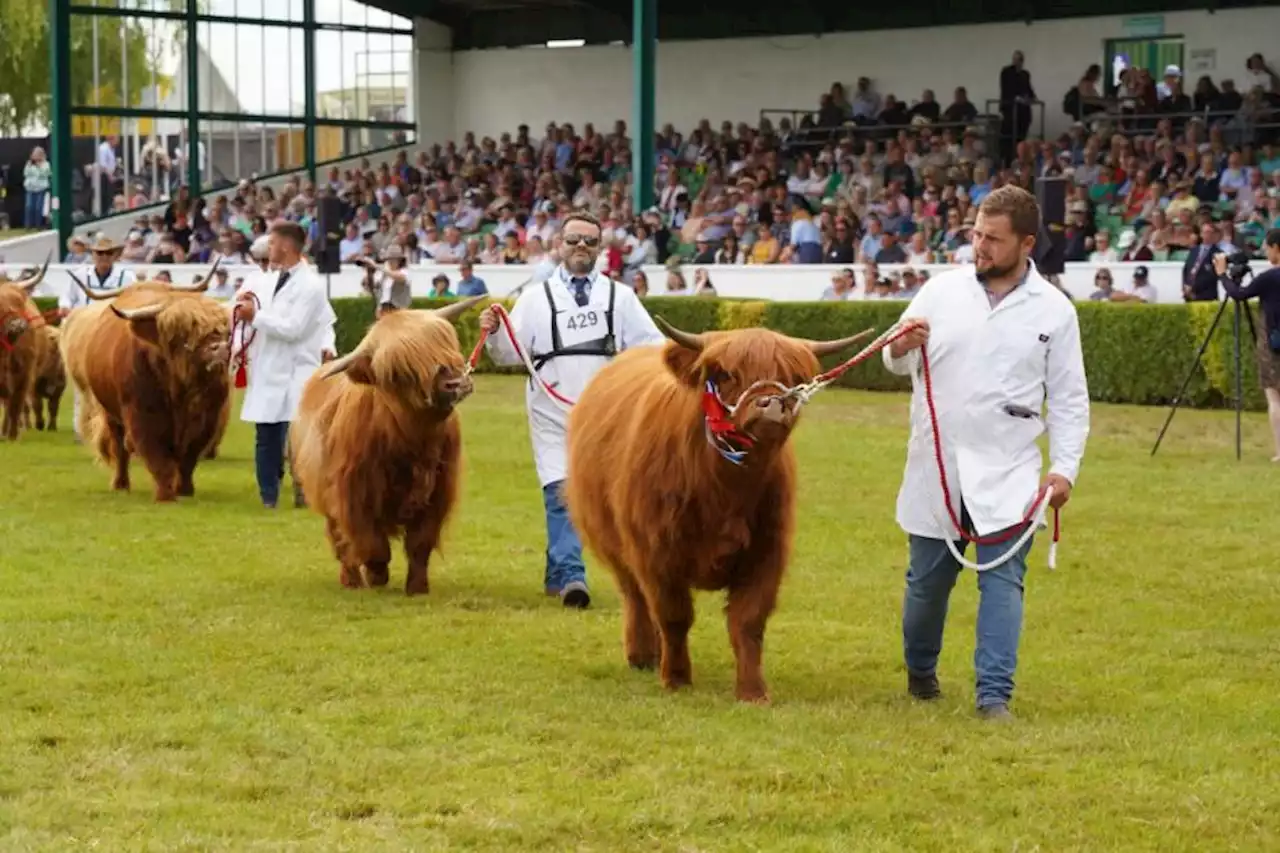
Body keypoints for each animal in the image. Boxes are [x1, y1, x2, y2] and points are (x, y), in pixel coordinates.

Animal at [0, 262, 49, 438]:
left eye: (18, 303)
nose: (19, 325)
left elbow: (16, 403)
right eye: (0, 306)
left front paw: (13, 436)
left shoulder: (25, 373)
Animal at [60, 275, 232, 499]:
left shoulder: (207, 416)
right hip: (110, 412)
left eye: (223, 330)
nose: (220, 349)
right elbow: (157, 456)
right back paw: (120, 484)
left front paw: (184, 490)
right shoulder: (142, 414)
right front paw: (165, 495)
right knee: (120, 447)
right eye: (183, 334)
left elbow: (189, 457)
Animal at [291, 295, 483, 594]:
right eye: (399, 371)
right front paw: (377, 577)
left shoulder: (439, 490)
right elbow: (372, 544)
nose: (454, 383)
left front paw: (417, 587)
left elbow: (420, 544)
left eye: (445, 340)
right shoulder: (353, 494)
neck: (414, 440)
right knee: (341, 541)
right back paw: (352, 580)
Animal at [568, 315, 875, 701]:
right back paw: (643, 655)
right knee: (635, 596)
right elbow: (674, 615)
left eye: (793, 378)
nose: (772, 404)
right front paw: (677, 679)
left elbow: (748, 621)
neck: (724, 488)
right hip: (614, 541)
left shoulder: (766, 551)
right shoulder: (656, 551)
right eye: (728, 374)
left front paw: (753, 691)